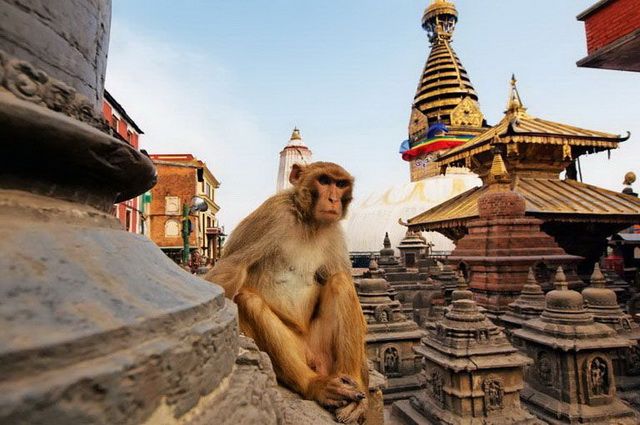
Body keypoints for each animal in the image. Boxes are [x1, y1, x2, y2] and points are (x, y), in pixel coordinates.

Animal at [205, 161, 370, 422]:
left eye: (340, 184)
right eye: (324, 181)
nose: (333, 199)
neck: (308, 222)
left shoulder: (334, 232)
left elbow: (341, 278)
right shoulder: (273, 214)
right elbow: (232, 268)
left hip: (323, 349)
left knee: (340, 281)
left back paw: (353, 384)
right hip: (297, 349)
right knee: (248, 300)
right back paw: (314, 385)